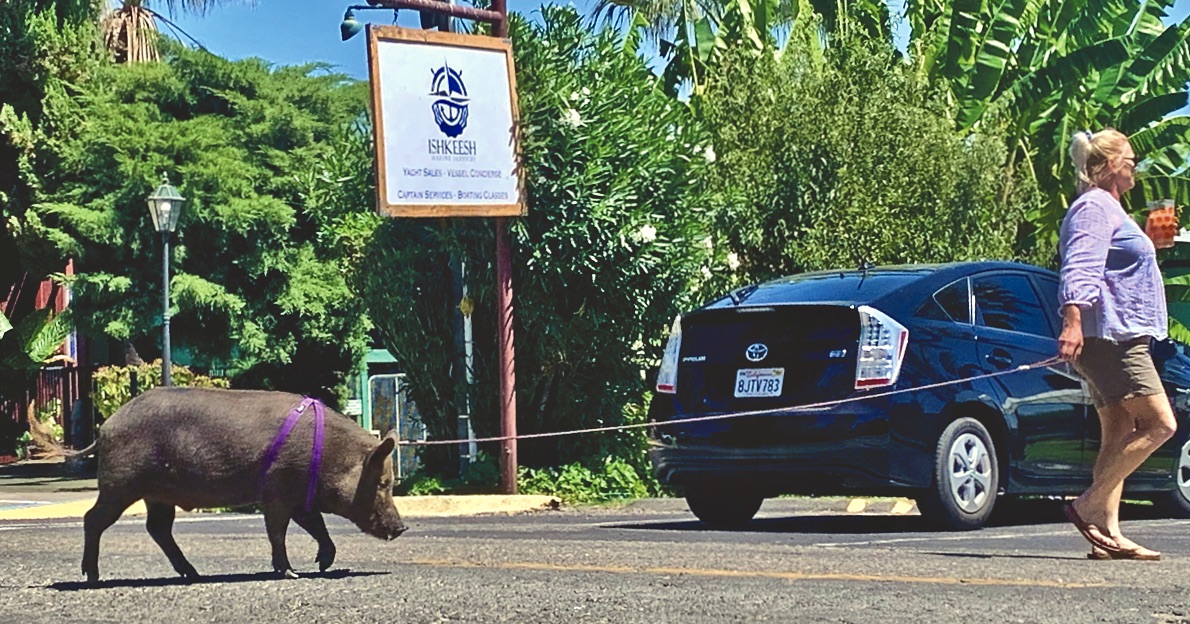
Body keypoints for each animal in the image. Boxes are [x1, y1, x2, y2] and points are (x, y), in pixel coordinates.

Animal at [77, 388, 409, 583]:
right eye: (383, 483)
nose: (403, 527)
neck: (330, 454)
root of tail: (105, 427)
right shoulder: (277, 490)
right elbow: (278, 531)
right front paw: (292, 573)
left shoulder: (300, 496)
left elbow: (316, 526)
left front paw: (322, 565)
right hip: (120, 485)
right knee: (92, 519)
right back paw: (92, 577)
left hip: (157, 496)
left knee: (157, 528)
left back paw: (193, 574)